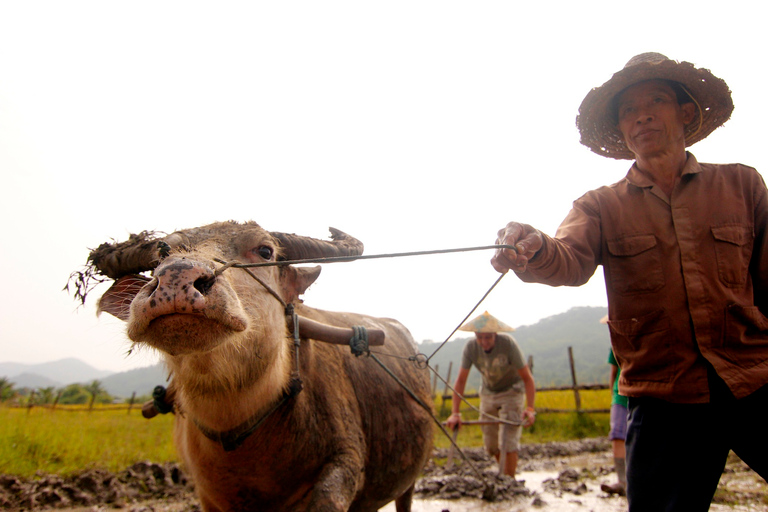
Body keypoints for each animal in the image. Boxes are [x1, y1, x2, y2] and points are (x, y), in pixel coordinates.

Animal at [83, 221, 436, 512]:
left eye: (265, 251)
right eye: (163, 252)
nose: (176, 277)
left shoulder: (343, 466)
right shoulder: (207, 495)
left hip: (411, 478)